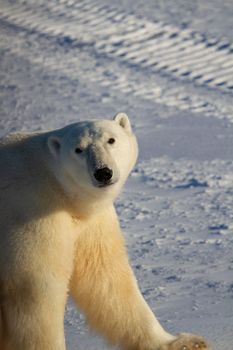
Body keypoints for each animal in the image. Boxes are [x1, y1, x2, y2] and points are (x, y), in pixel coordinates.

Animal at [0, 113, 209, 350]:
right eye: (78, 149)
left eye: (111, 140)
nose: (103, 173)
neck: (57, 187)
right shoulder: (29, 213)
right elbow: (36, 290)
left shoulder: (91, 223)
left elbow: (106, 278)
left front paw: (183, 342)